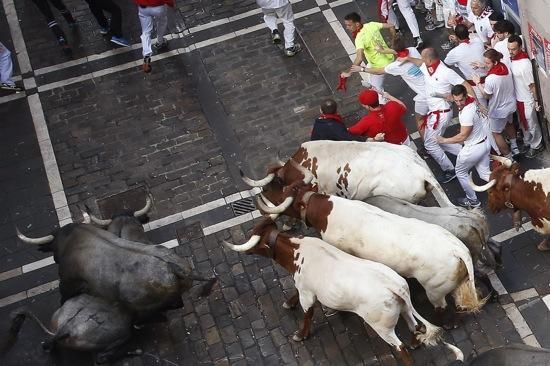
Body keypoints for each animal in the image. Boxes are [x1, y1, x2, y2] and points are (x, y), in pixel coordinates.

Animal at [224, 219, 466, 364]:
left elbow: (307, 315)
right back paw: (415, 342)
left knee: (399, 348)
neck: (297, 252)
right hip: (405, 311)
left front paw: (300, 335)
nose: (246, 250)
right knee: (415, 327)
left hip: (383, 327)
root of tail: (395, 286)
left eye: (257, 242)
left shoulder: (307, 294)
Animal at [258, 183, 488, 318]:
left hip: (435, 290)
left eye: (286, 196)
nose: (264, 192)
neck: (327, 213)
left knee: (441, 307)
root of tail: (458, 250)